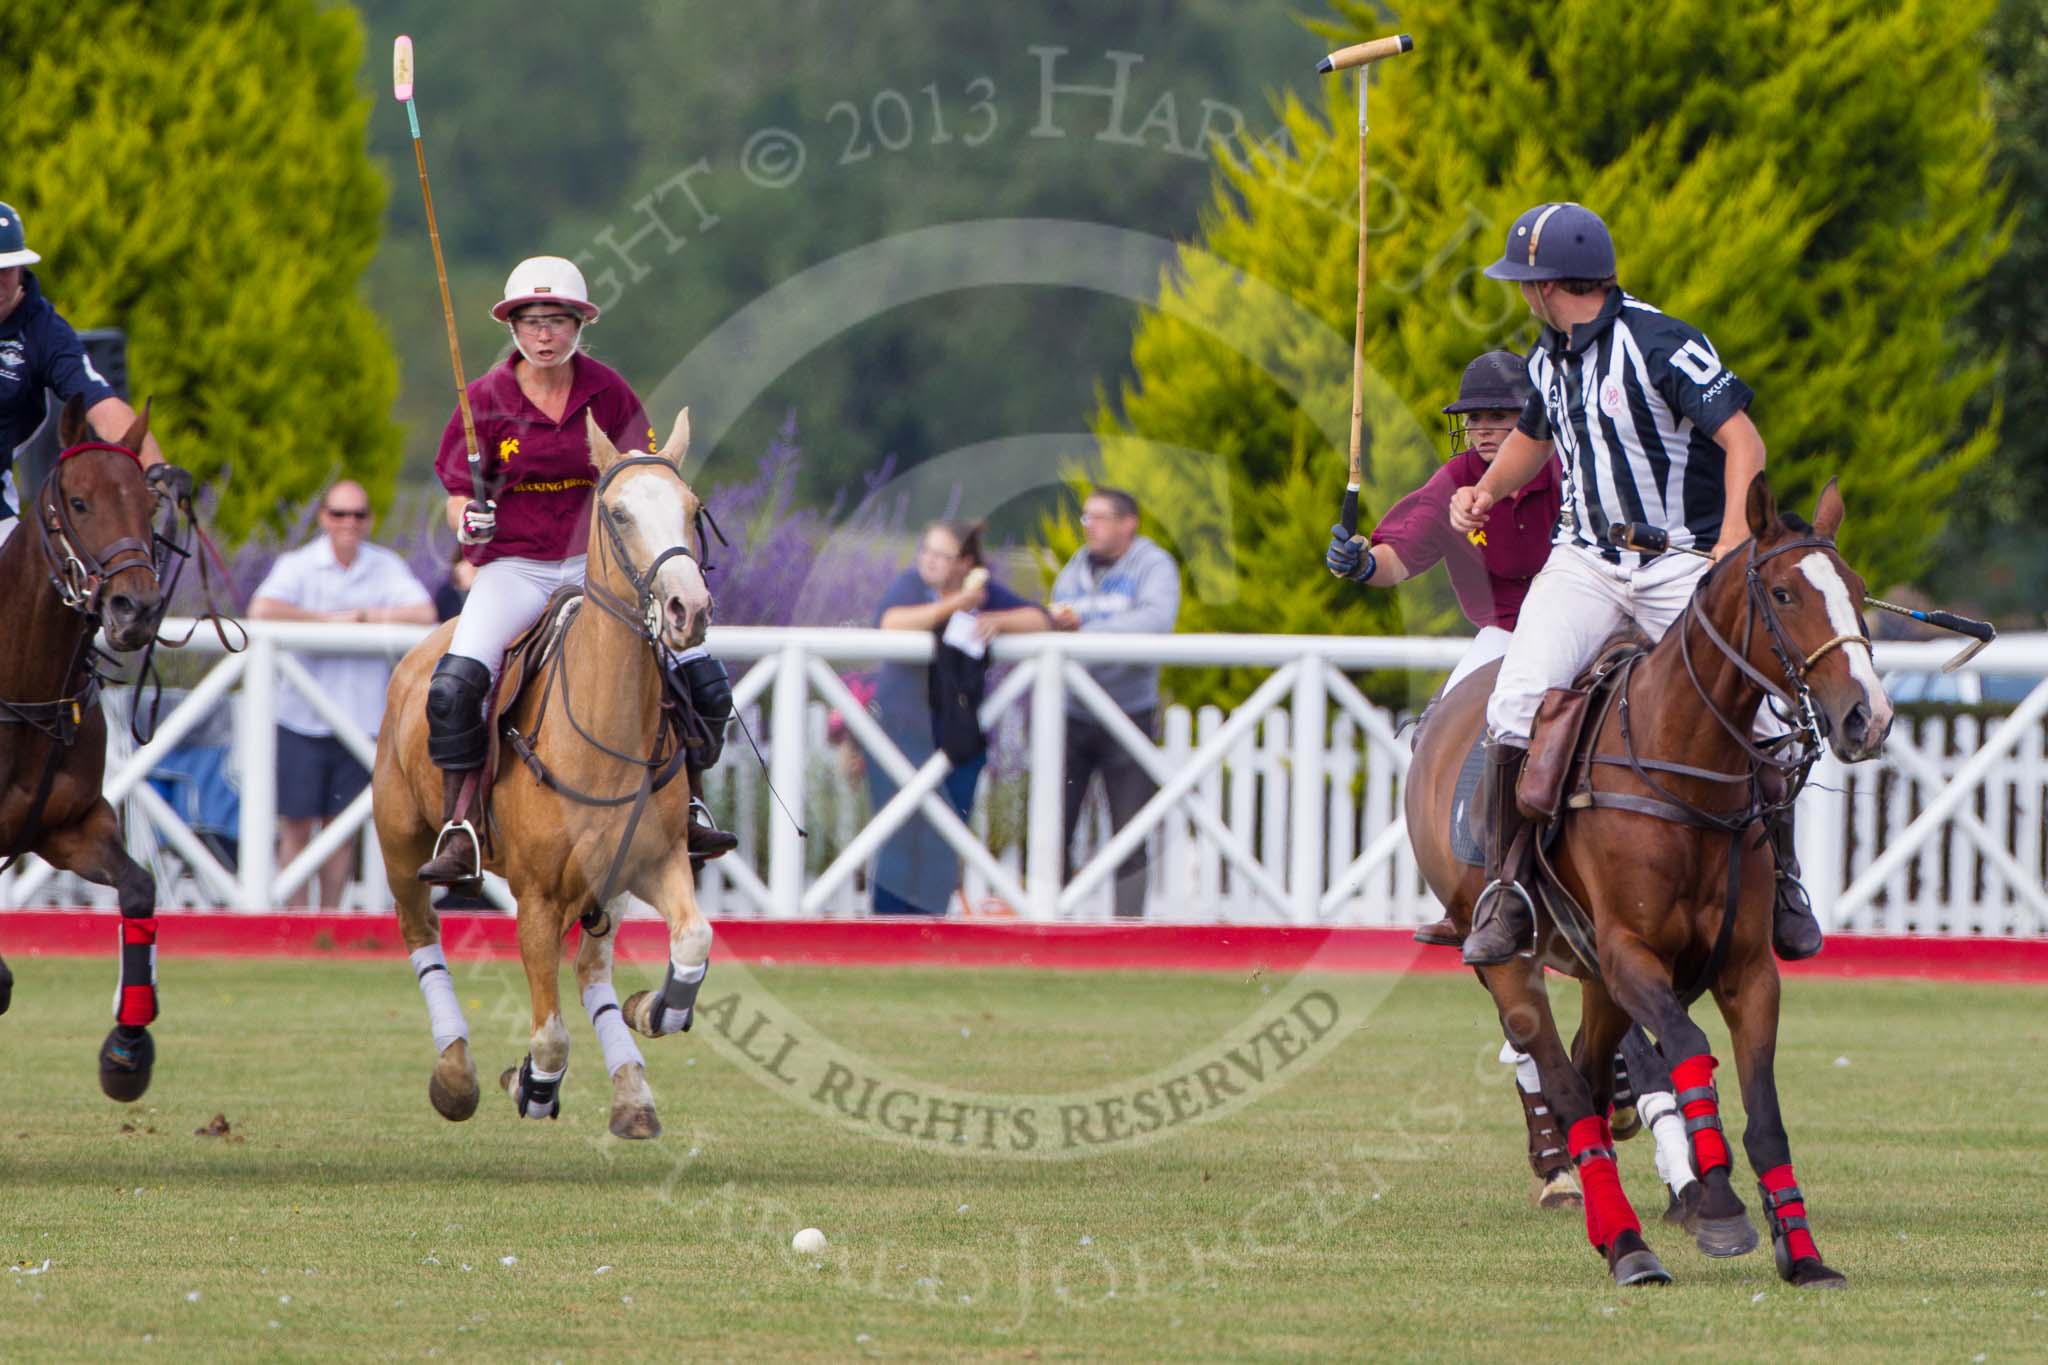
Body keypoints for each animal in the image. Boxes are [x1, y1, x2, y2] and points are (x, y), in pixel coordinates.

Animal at [372, 405, 716, 1146]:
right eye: (617, 513)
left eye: (693, 508)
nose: (688, 609)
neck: (607, 728)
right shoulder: (534, 898)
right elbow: (550, 1035)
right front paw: (530, 1084)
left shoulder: (657, 860)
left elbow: (693, 938)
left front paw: (655, 1008)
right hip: (399, 841)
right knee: (420, 931)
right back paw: (456, 1075)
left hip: (607, 886)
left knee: (591, 969)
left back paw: (632, 1092)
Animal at [1409, 478, 1884, 1293]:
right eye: (1784, 593)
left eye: (1855, 591)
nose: (1866, 716)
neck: (1682, 764)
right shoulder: (1632, 954)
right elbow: (1687, 1048)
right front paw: (1719, 1205)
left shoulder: (1745, 967)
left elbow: (1763, 1110)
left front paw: (1801, 1251)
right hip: (1510, 959)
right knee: (1565, 1081)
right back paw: (1627, 1243)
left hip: (1597, 979)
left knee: (1593, 1075)